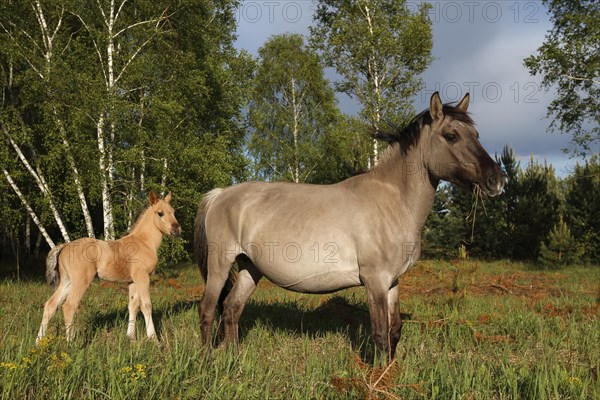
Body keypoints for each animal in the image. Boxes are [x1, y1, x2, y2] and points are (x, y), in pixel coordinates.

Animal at [35, 191, 179, 344]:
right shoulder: (142, 277)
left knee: (51, 305)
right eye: (160, 213)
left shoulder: (132, 281)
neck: (144, 242)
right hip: (81, 281)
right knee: (69, 306)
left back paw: (38, 342)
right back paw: (71, 343)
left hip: (67, 281)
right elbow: (146, 305)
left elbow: (133, 305)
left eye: (173, 211)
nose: (177, 230)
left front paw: (131, 337)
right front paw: (154, 340)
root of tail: (64, 246)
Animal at [195, 93, 504, 360]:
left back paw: (233, 357)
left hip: (251, 268)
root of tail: (220, 195)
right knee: (209, 310)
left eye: (476, 135)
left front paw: (390, 374)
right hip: (220, 264)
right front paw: (378, 379)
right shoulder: (375, 281)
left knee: (232, 309)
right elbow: (379, 334)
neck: (394, 202)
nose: (497, 180)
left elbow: (394, 331)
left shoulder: (392, 281)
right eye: (451, 136)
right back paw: (206, 360)